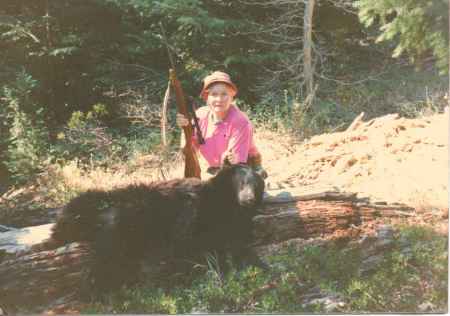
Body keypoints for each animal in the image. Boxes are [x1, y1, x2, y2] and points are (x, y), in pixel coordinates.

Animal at [51, 162, 266, 296]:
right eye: (243, 183)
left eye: (256, 185)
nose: (248, 199)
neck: (224, 200)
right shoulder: (195, 215)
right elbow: (197, 244)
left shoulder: (232, 222)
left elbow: (235, 240)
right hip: (125, 221)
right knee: (106, 258)